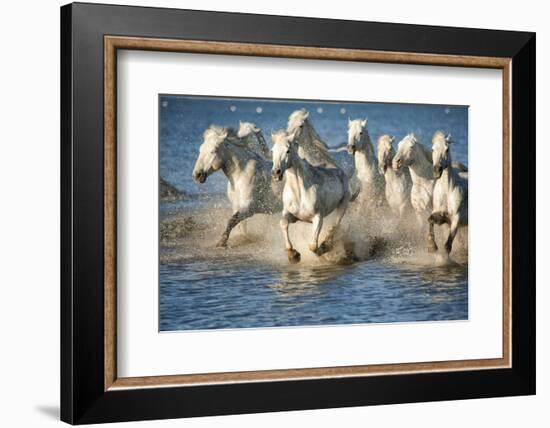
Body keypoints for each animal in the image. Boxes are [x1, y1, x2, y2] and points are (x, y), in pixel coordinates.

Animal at [272, 130, 354, 264]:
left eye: (288, 150)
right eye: (272, 150)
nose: (276, 173)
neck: (299, 193)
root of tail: (340, 171)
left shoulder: (317, 217)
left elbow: (313, 246)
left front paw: (320, 250)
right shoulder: (293, 216)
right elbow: (283, 223)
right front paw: (293, 255)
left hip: (343, 205)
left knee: (335, 226)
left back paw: (327, 246)